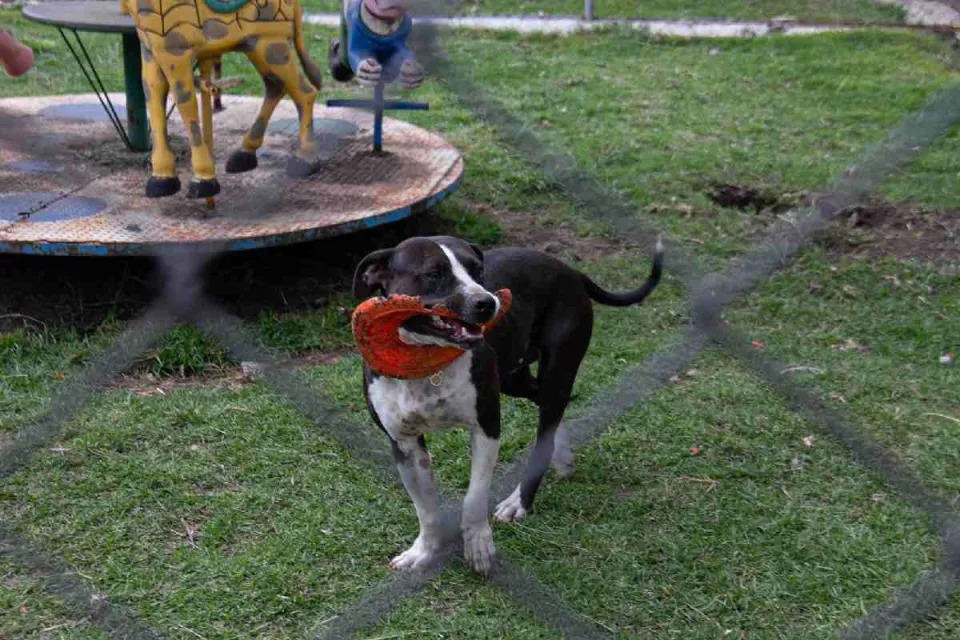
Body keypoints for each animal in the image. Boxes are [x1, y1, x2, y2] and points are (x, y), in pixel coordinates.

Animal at [352, 236, 660, 576]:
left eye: (478, 270)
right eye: (434, 273)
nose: (486, 302)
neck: (426, 361)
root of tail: (570, 270)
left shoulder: (487, 426)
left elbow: (474, 497)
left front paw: (478, 545)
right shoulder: (404, 445)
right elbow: (426, 507)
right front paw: (423, 552)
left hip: (557, 369)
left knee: (546, 423)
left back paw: (519, 502)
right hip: (515, 377)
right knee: (545, 407)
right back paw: (562, 453)